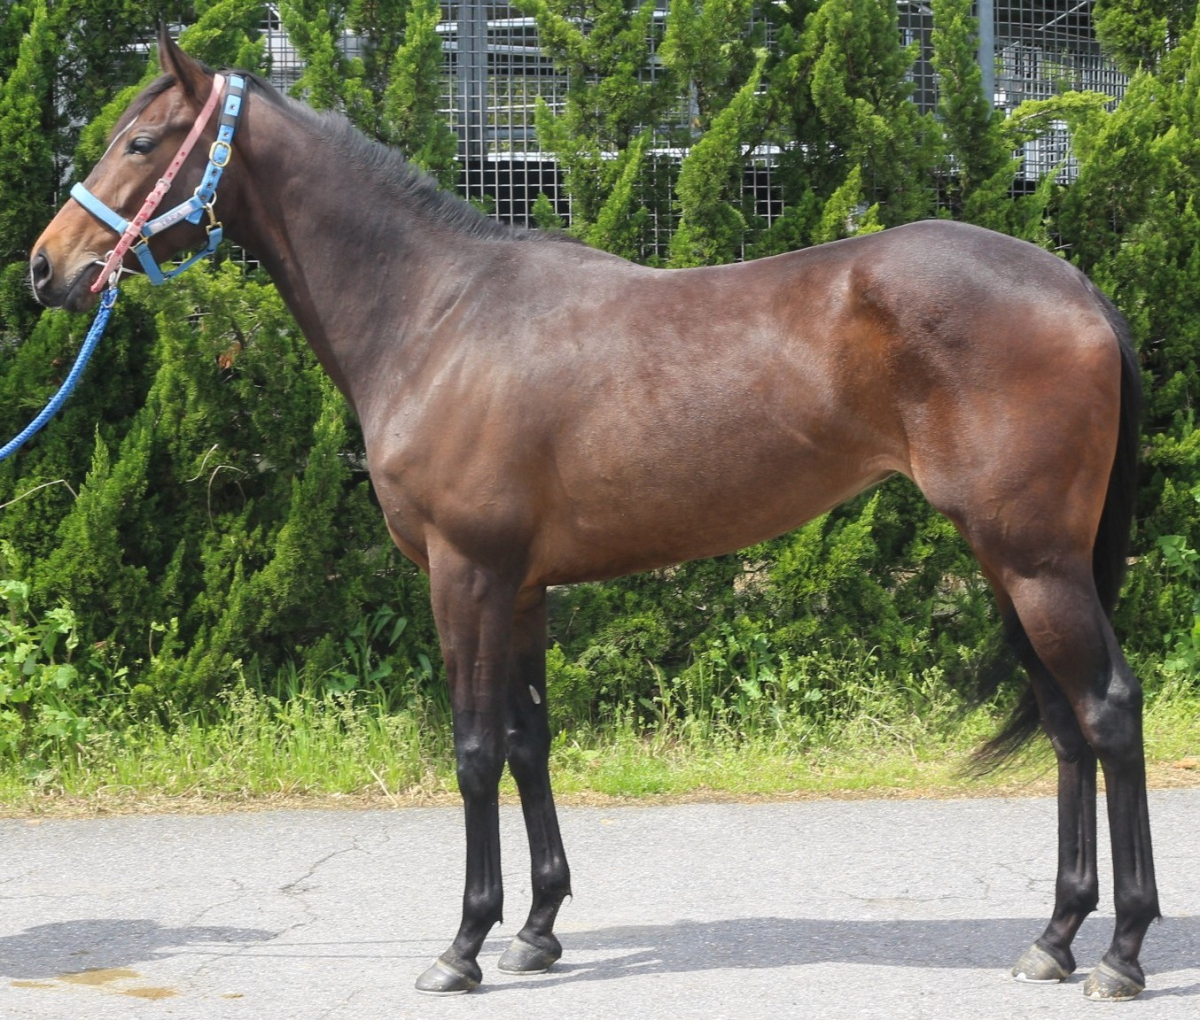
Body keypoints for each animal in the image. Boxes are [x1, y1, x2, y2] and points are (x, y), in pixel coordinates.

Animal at [30, 27, 1157, 1000]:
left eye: (140, 142)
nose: (46, 265)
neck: (437, 316)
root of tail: (1078, 289)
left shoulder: (466, 575)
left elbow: (474, 749)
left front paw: (463, 945)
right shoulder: (523, 587)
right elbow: (530, 741)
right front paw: (535, 931)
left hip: (1034, 561)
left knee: (1108, 709)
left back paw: (1121, 953)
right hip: (1008, 560)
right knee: (1065, 724)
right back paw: (1055, 939)